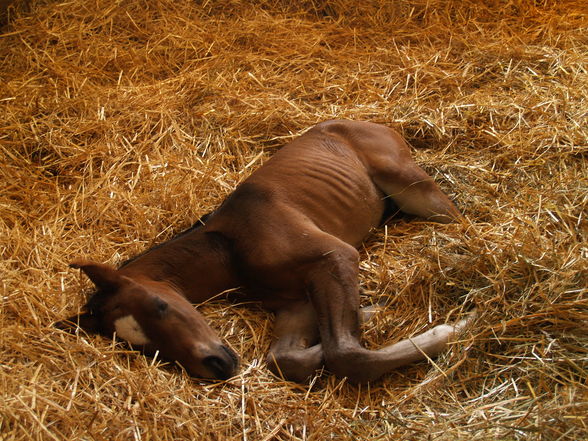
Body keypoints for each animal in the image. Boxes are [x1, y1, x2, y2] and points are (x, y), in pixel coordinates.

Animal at [58, 119, 474, 382]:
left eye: (160, 305)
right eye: (145, 350)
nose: (216, 366)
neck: (232, 251)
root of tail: (370, 122)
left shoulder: (335, 257)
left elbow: (346, 355)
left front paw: (451, 330)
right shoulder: (296, 304)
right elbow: (286, 359)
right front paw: (360, 317)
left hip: (413, 187)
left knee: (459, 220)